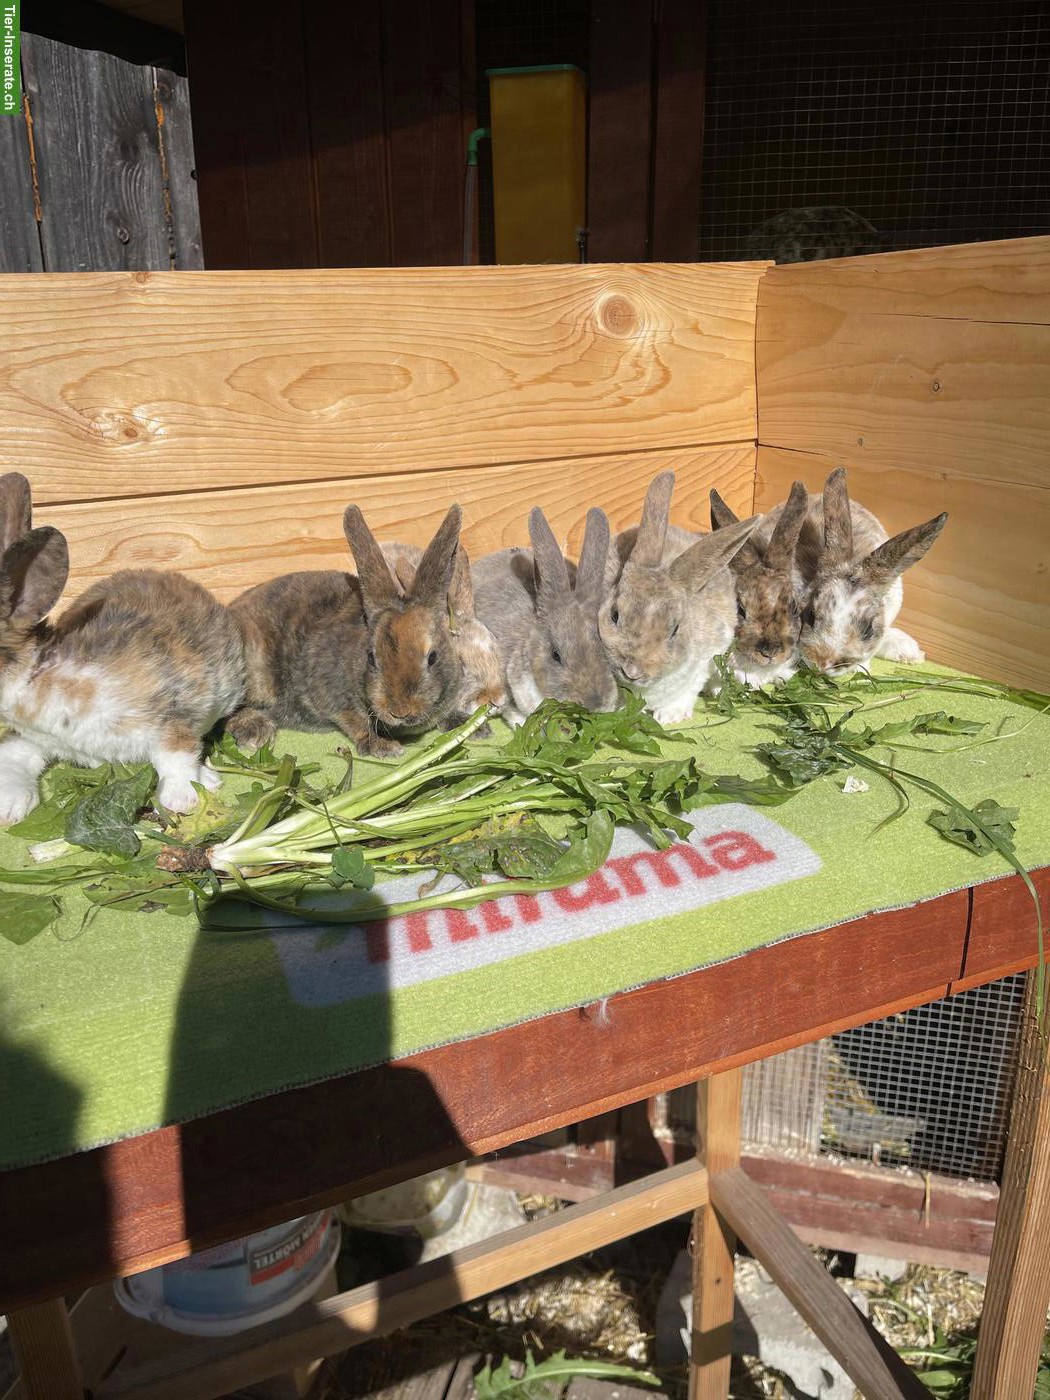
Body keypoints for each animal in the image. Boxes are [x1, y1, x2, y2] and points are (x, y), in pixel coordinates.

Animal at [0, 472, 245, 823]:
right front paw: (10, 806)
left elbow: (176, 754)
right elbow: (13, 755)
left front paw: (182, 799)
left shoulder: (170, 711)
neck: (35, 677)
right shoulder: (31, 737)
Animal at [227, 504, 465, 759]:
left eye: (433, 657)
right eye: (371, 658)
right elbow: (355, 722)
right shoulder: (333, 698)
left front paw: (464, 722)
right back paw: (255, 731)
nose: (400, 711)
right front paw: (383, 747)